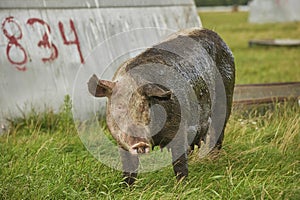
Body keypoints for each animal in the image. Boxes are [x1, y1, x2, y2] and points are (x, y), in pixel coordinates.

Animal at [88, 27, 236, 184]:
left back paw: (213, 160)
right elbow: (129, 166)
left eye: (146, 105)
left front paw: (182, 185)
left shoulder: (179, 128)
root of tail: (213, 33)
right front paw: (126, 186)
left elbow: (179, 162)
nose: (140, 143)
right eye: (120, 107)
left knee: (217, 133)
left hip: (225, 98)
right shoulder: (121, 142)